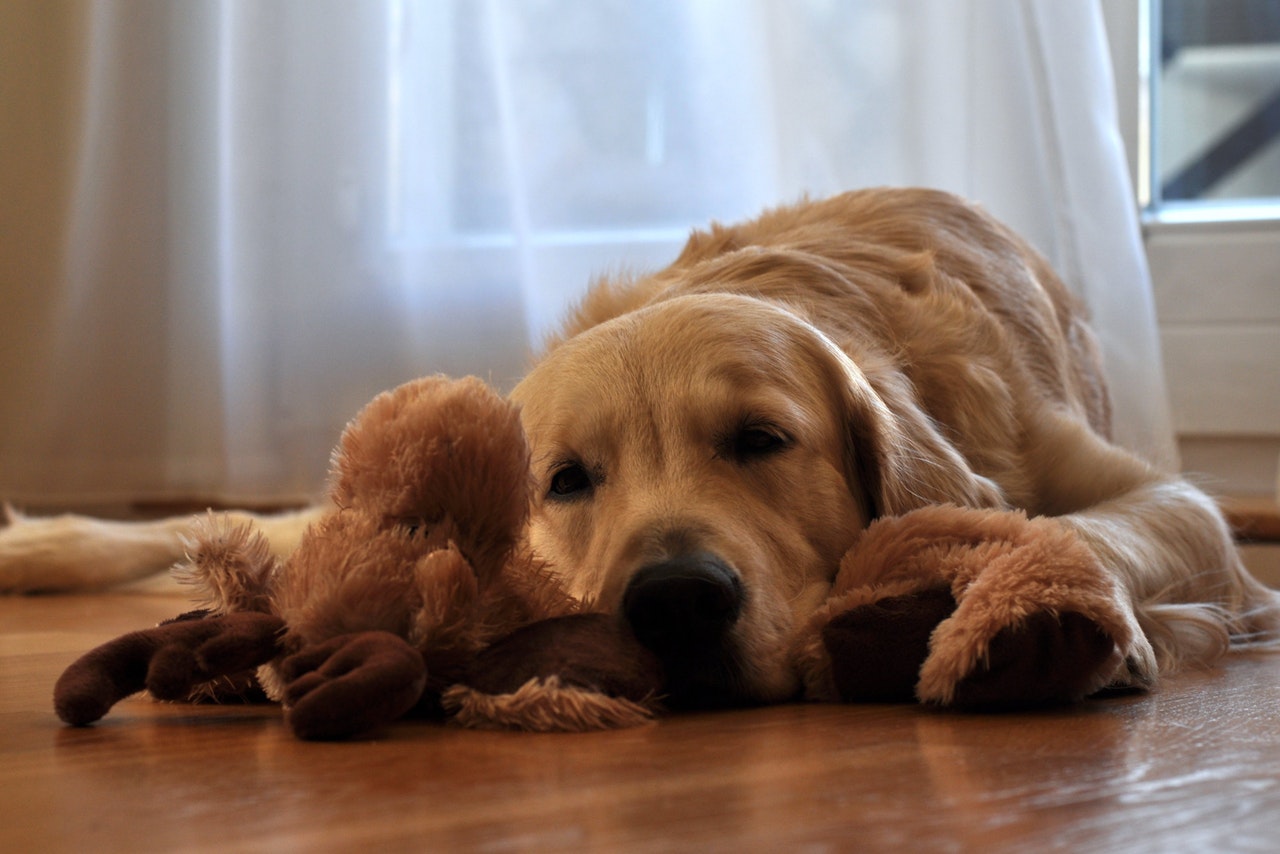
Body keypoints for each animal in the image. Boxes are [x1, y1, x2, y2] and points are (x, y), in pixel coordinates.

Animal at [5, 190, 1274, 711]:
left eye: (760, 439)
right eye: (566, 479)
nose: (672, 601)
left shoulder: (1157, 495)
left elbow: (1094, 524)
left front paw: (1044, 616)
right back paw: (41, 545)